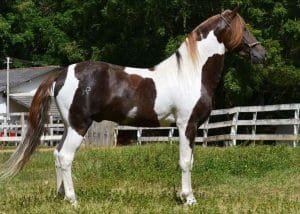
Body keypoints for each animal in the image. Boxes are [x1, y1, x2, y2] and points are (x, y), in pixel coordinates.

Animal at [1, 8, 264, 206]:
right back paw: (74, 200)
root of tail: (61, 74)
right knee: (65, 156)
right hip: (79, 125)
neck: (190, 73)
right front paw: (188, 199)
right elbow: (186, 162)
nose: (262, 53)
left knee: (56, 154)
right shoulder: (186, 125)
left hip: (68, 125)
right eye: (244, 28)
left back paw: (61, 196)